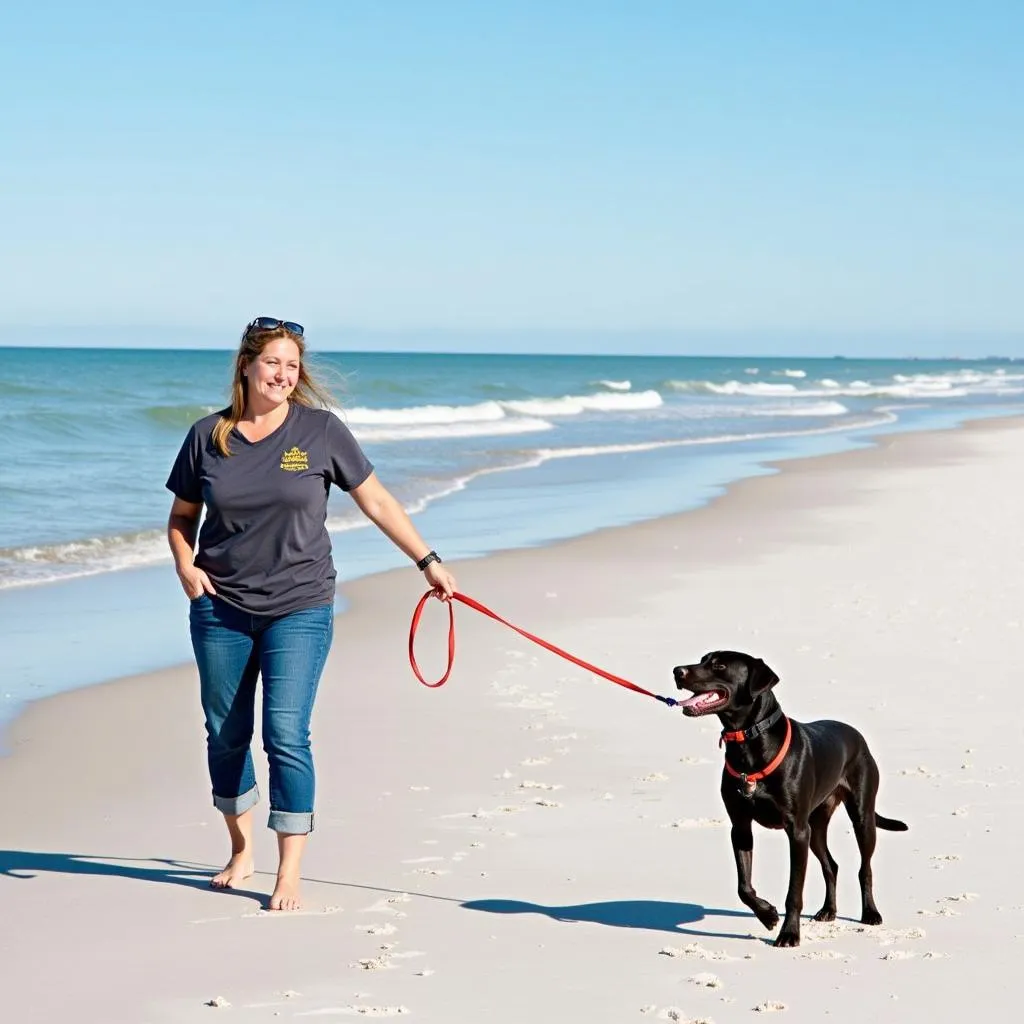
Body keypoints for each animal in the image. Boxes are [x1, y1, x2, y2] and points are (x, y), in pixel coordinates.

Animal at [675, 651, 909, 946]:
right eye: (703, 659)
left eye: (719, 665)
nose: (677, 671)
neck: (749, 741)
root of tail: (857, 736)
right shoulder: (741, 827)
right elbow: (743, 887)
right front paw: (767, 915)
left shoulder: (796, 830)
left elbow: (793, 892)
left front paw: (789, 933)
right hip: (816, 825)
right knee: (830, 865)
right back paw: (828, 910)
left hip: (861, 816)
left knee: (864, 867)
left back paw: (870, 913)